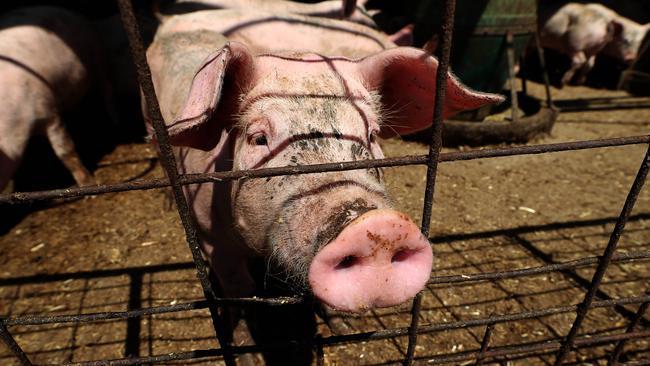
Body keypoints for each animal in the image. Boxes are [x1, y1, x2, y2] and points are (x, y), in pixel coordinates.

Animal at [146, 2, 502, 364]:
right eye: (259, 138)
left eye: (372, 134)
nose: (375, 224)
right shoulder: (212, 239)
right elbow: (239, 292)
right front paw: (250, 357)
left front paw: (344, 327)